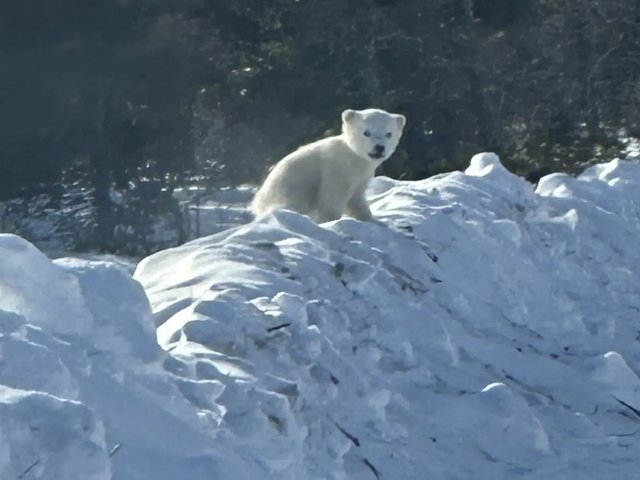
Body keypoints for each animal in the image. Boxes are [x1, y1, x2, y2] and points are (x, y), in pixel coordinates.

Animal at [250, 109, 404, 223]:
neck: (353, 157)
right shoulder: (336, 170)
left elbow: (356, 199)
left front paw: (369, 218)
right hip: (289, 194)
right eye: (366, 132)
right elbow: (331, 198)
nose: (379, 148)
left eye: (388, 134)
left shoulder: (361, 177)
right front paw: (330, 220)